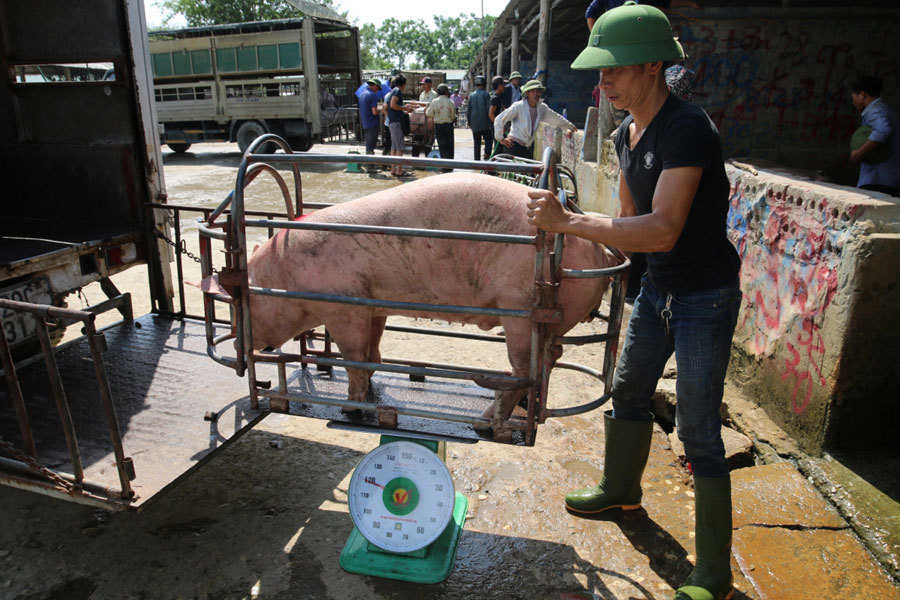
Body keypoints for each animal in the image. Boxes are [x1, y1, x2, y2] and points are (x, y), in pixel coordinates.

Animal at [241, 172, 620, 422]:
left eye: (249, 300)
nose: (250, 346)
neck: (285, 275)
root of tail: (599, 252)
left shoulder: (343, 304)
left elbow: (352, 357)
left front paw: (350, 409)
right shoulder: (374, 302)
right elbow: (372, 351)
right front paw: (372, 387)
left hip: (520, 308)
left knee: (526, 366)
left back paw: (486, 421)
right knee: (551, 355)